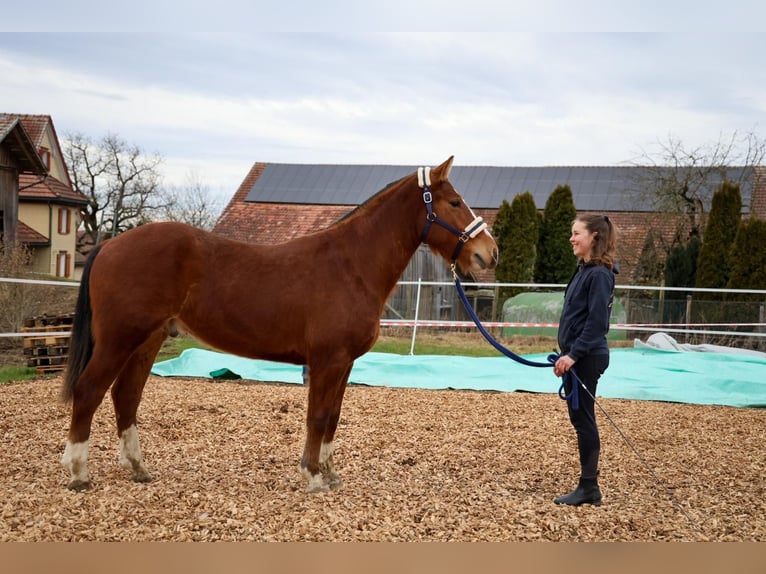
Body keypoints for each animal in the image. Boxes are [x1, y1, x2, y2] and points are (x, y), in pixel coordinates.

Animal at [60, 156, 498, 493]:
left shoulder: (344, 364)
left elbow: (333, 415)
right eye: (455, 202)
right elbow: (318, 416)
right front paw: (313, 477)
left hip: (147, 341)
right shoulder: (327, 360)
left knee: (125, 396)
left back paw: (137, 468)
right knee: (89, 391)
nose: (488, 253)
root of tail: (109, 245)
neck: (351, 265)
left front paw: (330, 473)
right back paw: (79, 473)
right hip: (119, 340)